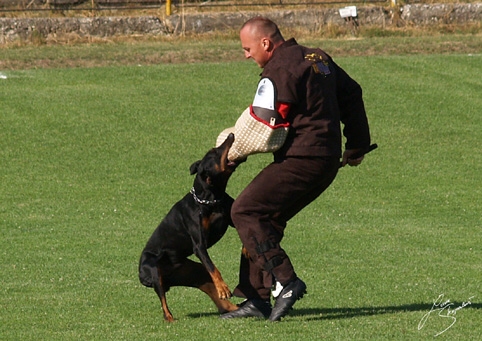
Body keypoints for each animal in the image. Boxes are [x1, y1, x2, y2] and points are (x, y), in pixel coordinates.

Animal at [137, 132, 239, 318]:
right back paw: (170, 318)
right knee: (164, 304)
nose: (231, 134)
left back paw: (234, 308)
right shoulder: (199, 245)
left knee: (216, 297)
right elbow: (214, 267)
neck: (210, 198)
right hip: (154, 268)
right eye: (214, 152)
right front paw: (223, 287)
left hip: (195, 273)